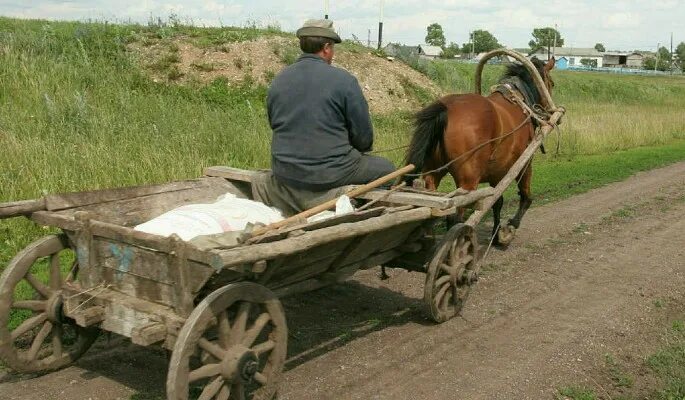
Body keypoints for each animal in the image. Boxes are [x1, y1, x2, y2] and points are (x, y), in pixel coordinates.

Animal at [400, 55, 556, 244]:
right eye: (552, 83)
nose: (549, 111)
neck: (519, 103)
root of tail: (446, 109)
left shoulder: (497, 172)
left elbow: (497, 201)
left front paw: (496, 233)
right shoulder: (523, 163)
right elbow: (524, 197)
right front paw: (509, 227)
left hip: (433, 173)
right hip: (468, 182)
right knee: (455, 216)